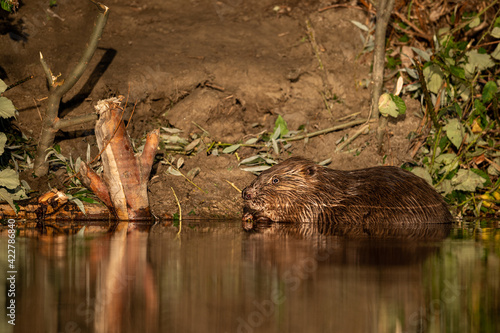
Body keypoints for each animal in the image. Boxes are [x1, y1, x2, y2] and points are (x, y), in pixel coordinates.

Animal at [241, 156, 454, 228]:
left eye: (275, 179)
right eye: (262, 173)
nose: (246, 193)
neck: (327, 191)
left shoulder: (314, 208)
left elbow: (298, 218)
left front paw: (257, 216)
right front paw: (247, 215)